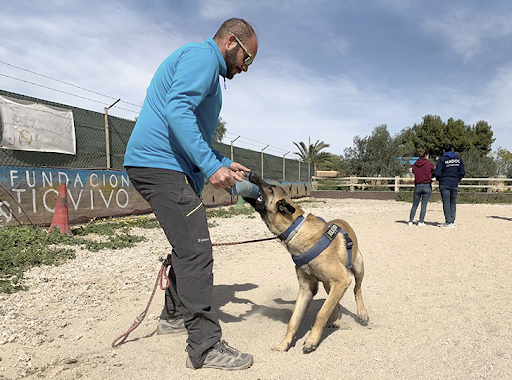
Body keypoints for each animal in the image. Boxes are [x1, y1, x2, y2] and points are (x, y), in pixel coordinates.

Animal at [244, 174, 368, 354]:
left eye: (270, 188)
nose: (251, 174)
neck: (295, 230)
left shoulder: (342, 280)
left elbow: (322, 313)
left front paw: (312, 340)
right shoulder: (306, 288)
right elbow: (294, 320)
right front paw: (284, 344)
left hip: (357, 269)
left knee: (357, 290)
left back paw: (362, 313)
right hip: (329, 285)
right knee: (336, 301)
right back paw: (336, 320)